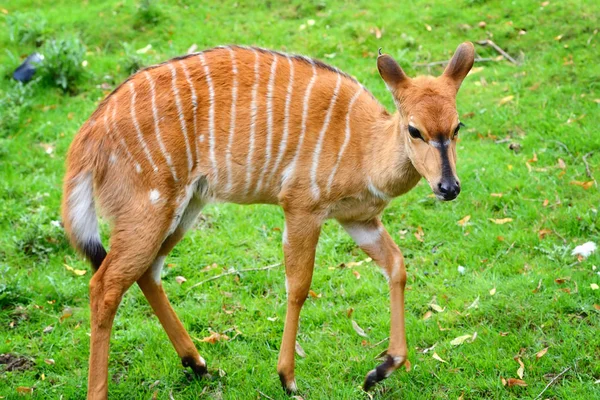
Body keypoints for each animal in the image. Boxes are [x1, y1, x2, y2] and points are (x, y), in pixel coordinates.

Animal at [61, 40, 474, 396]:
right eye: (414, 130)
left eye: (457, 127)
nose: (448, 187)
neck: (364, 148)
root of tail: (89, 135)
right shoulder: (302, 207)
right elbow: (299, 286)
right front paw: (287, 378)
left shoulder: (358, 220)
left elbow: (397, 266)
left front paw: (381, 369)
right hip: (149, 208)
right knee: (105, 286)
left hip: (184, 207)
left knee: (146, 272)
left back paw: (197, 363)